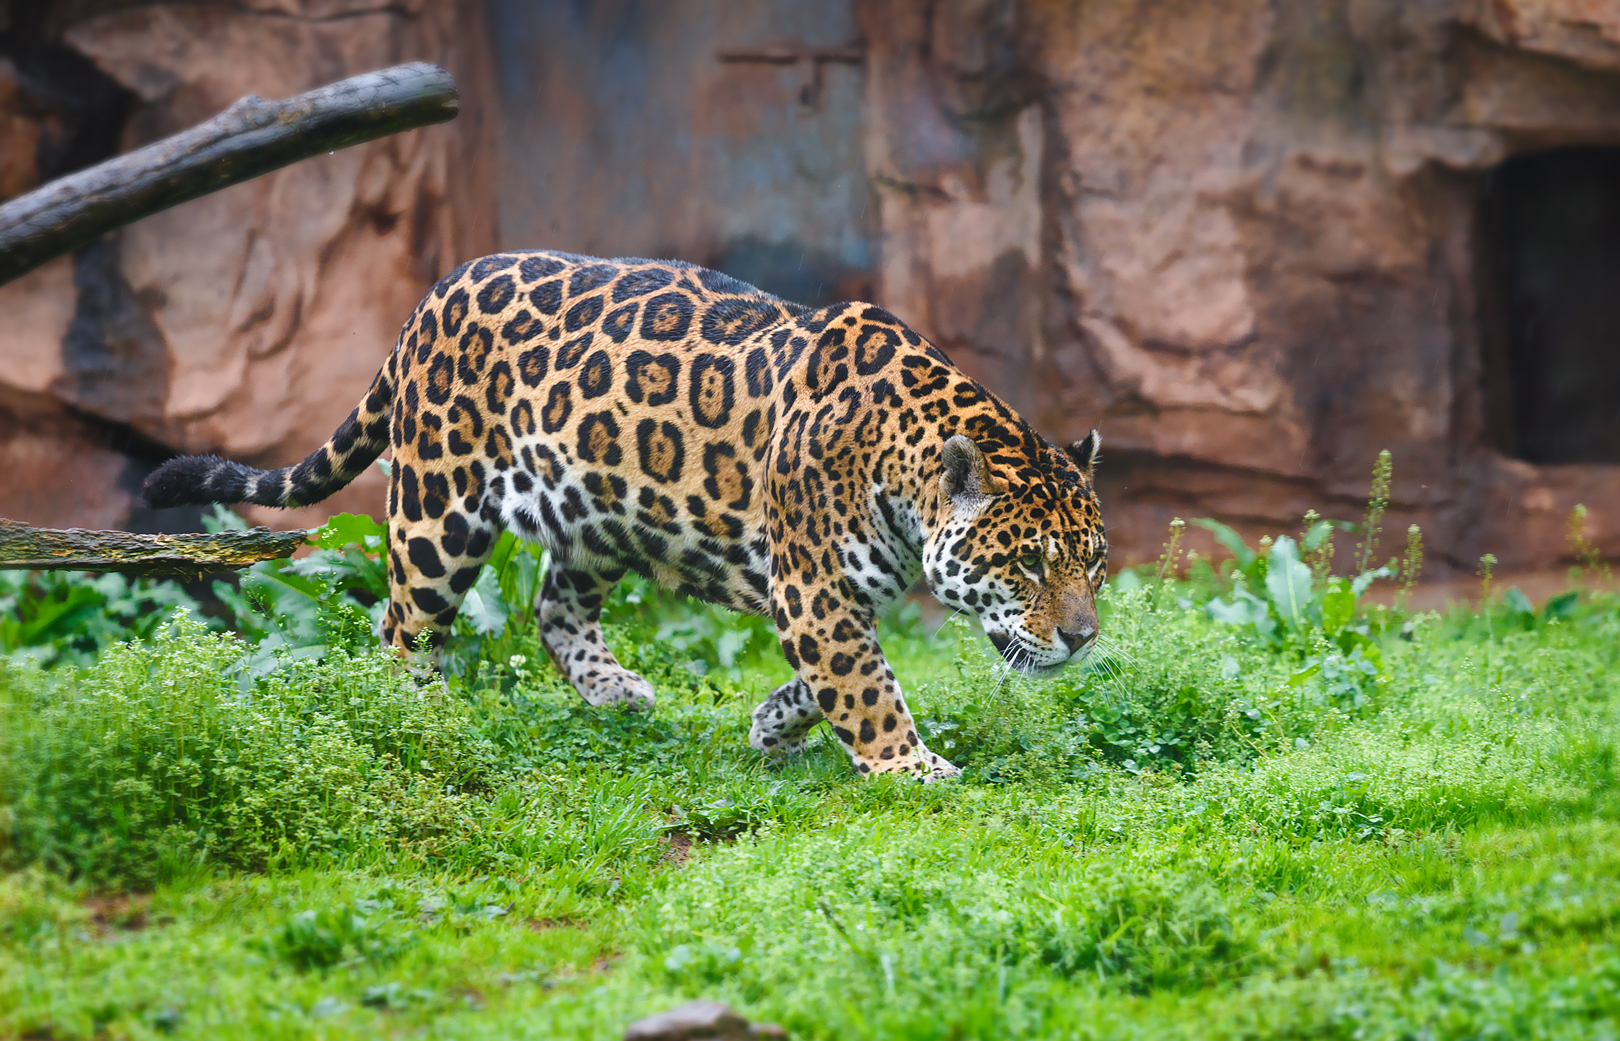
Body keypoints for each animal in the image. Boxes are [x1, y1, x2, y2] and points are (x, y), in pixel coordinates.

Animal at [143, 250, 1108, 780]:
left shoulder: (832, 594)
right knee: (402, 623)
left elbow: (836, 674)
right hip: (438, 506)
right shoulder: (816, 587)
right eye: (1029, 562)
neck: (901, 465)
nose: (1083, 637)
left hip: (595, 510)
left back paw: (617, 690)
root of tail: (434, 294)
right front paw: (911, 766)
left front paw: (774, 722)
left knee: (551, 606)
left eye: (1093, 564)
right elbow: (865, 682)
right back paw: (416, 714)